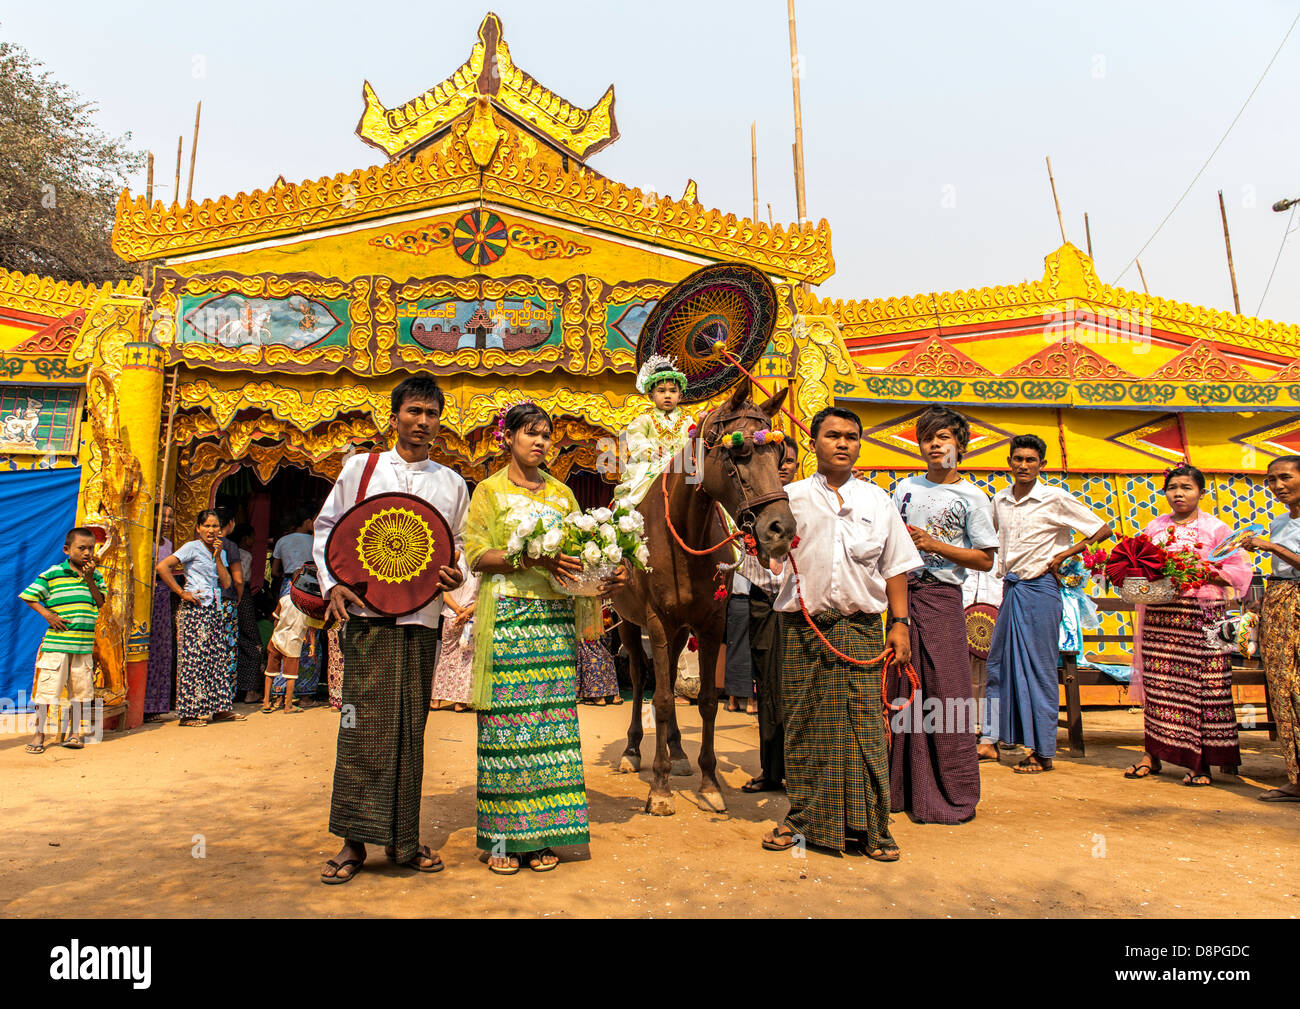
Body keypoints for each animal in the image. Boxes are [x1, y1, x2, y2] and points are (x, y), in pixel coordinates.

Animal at [605, 382, 790, 816]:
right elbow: (662, 700)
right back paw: (633, 750)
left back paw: (677, 753)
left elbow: (705, 700)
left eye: (779, 455)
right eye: (739, 452)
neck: (684, 534)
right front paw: (659, 789)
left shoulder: (710, 623)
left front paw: (709, 784)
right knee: (639, 677)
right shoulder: (655, 621)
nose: (781, 528)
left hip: (677, 630)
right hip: (629, 625)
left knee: (671, 674)